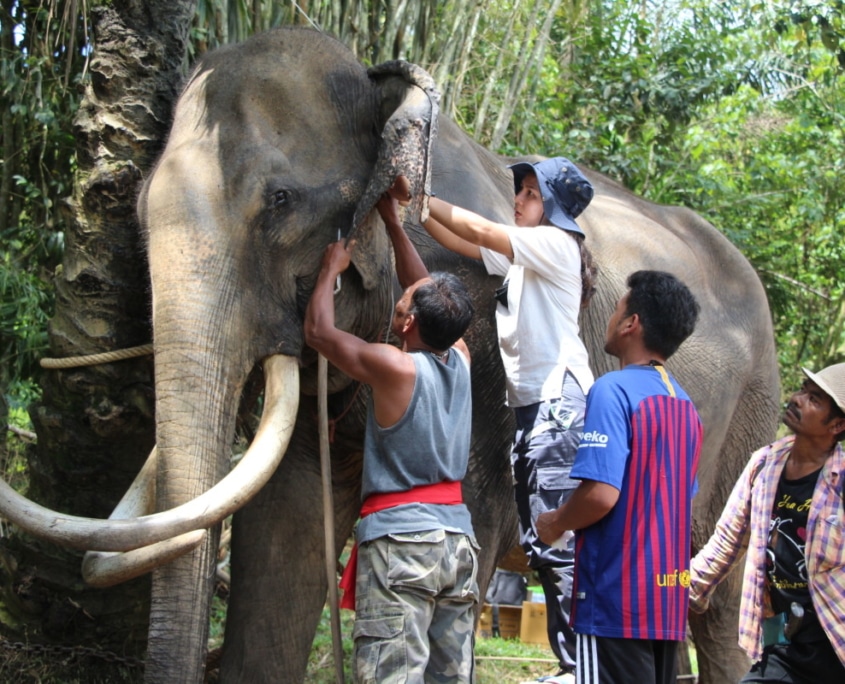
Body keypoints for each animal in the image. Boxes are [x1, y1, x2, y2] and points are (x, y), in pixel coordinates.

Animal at [0, 27, 780, 684]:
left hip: (752, 416)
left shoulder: (484, 363)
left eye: (280, 200)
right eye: (134, 212)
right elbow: (281, 529)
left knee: (717, 603)